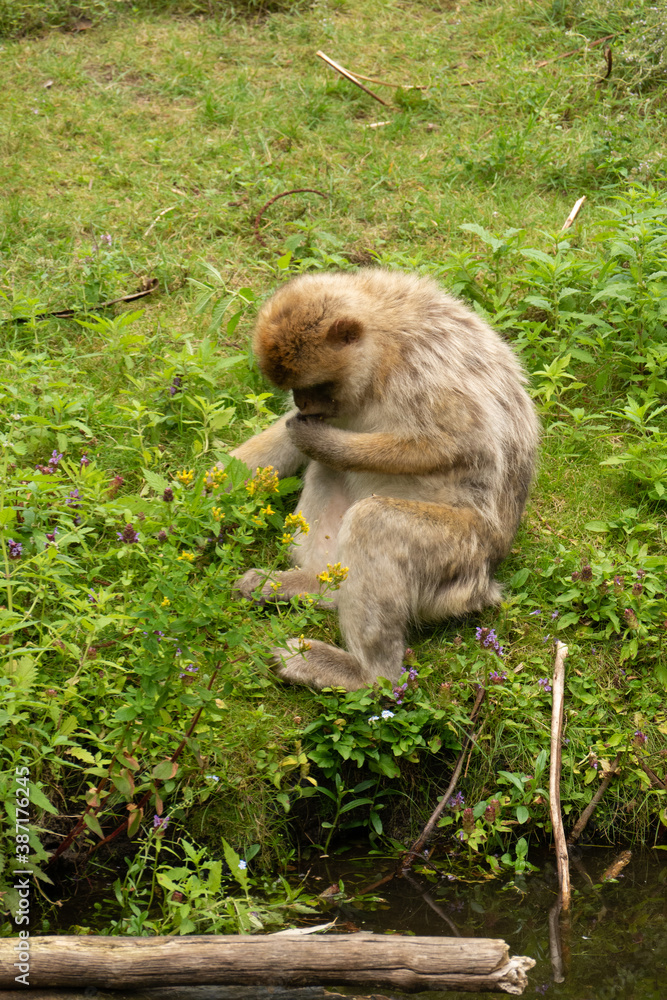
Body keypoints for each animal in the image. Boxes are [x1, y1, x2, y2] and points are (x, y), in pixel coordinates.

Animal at [230, 268, 539, 692]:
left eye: (315, 385)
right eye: (296, 390)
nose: (302, 404)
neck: (381, 352)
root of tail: (485, 580)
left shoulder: (422, 372)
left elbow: (458, 444)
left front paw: (321, 441)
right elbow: (287, 436)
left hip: (459, 554)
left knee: (374, 519)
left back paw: (363, 673)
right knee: (329, 474)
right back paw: (316, 586)